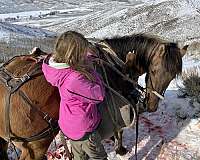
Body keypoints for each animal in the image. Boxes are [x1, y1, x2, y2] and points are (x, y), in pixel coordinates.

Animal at [0, 33, 188, 159]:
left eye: (172, 77)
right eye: (154, 71)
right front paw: (120, 149)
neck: (116, 62)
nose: (152, 106)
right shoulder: (119, 100)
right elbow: (119, 129)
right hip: (36, 146)